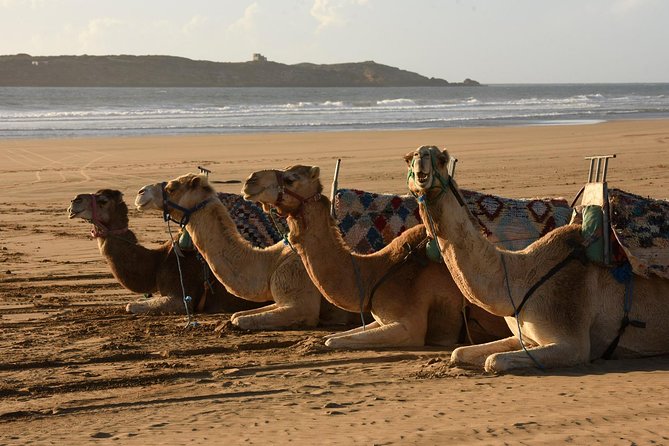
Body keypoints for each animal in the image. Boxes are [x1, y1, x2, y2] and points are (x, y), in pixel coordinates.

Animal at [134, 175, 356, 330]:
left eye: (172, 188)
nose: (140, 192)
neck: (270, 262)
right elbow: (237, 315)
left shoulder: (300, 299)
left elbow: (240, 320)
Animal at [242, 165, 510, 349]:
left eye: (290, 179)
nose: (249, 181)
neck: (377, 271)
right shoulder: (380, 319)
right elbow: (334, 336)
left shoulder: (409, 327)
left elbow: (333, 341)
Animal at [405, 145, 669, 372]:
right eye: (408, 158)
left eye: (441, 159)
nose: (420, 161)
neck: (521, 278)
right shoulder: (525, 336)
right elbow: (458, 352)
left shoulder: (573, 344)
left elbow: (494, 360)